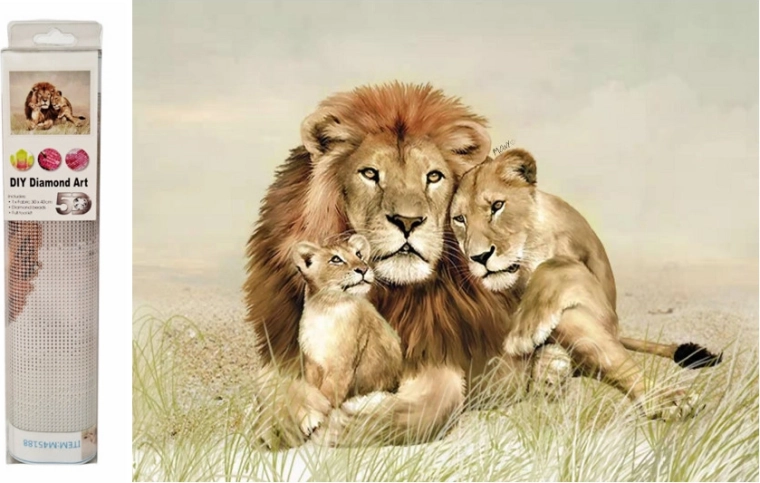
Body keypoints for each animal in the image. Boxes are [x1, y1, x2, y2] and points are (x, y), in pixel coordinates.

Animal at [246, 83, 542, 446]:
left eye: (433, 176)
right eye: (370, 173)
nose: (408, 220)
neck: (393, 293)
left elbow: (436, 401)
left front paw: (347, 422)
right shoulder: (283, 347)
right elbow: (274, 386)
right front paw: (285, 421)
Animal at [449, 148, 722, 419]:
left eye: (497, 206)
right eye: (460, 219)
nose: (479, 257)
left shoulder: (601, 304)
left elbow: (556, 265)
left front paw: (523, 332)